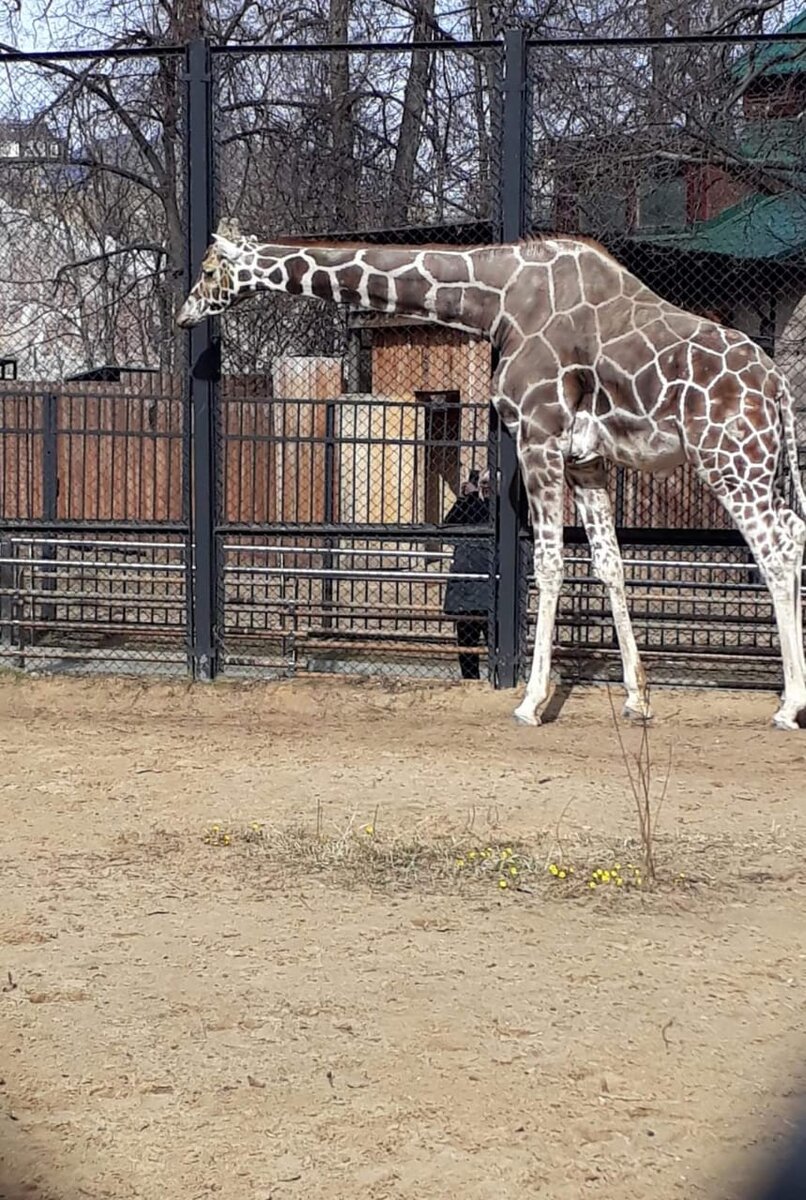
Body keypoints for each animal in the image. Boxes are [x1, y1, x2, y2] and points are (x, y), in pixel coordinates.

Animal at [176, 223, 806, 729]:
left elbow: (548, 565)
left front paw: (530, 703)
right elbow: (610, 566)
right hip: (759, 464)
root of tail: (777, 385)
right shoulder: (587, 459)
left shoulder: (538, 437)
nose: (183, 314)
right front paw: (637, 699)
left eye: (208, 269)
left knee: (778, 548)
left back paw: (788, 705)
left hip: (729, 461)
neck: (497, 301)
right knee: (794, 536)